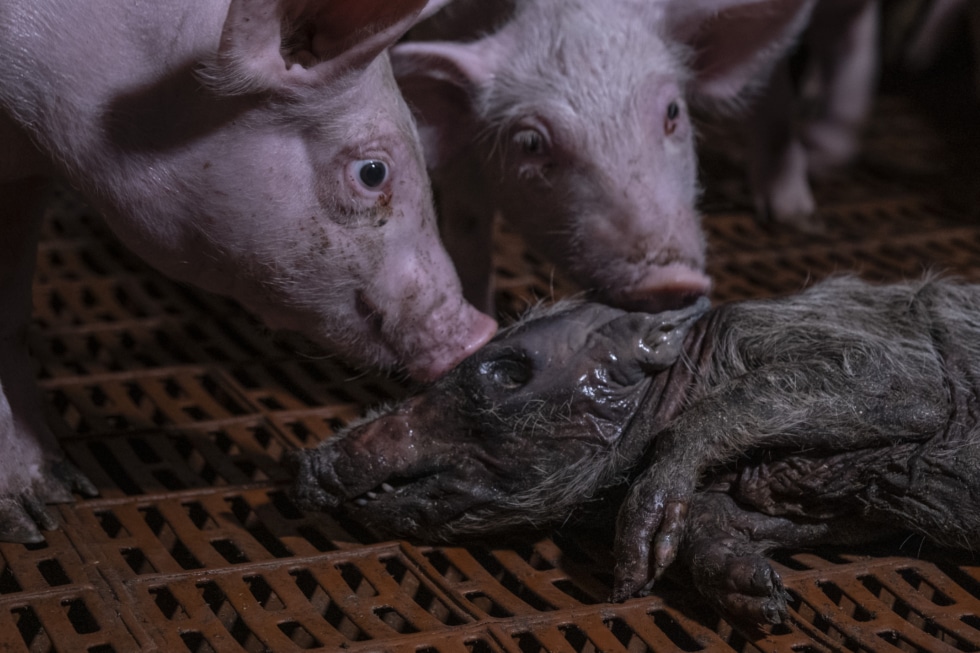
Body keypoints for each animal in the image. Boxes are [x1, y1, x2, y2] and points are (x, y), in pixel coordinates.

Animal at [0, 0, 498, 544]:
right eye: (372, 173)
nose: (480, 332)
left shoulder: (27, 180)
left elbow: (14, 316)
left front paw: (62, 492)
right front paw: (31, 527)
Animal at [294, 274, 980, 620]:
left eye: (504, 372)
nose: (308, 464)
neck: (701, 360)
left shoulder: (870, 358)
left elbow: (897, 384)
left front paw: (643, 529)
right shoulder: (822, 501)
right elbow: (717, 519)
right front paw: (750, 589)